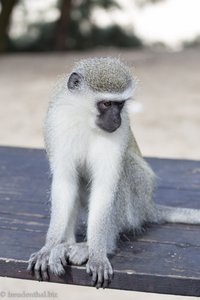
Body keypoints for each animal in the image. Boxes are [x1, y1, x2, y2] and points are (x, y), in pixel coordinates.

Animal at [27, 56, 200, 288]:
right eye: (106, 104)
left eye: (121, 104)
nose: (117, 120)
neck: (85, 119)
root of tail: (148, 206)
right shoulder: (58, 121)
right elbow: (65, 183)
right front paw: (49, 247)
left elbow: (105, 187)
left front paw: (98, 253)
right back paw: (64, 245)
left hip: (139, 196)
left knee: (123, 171)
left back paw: (97, 245)